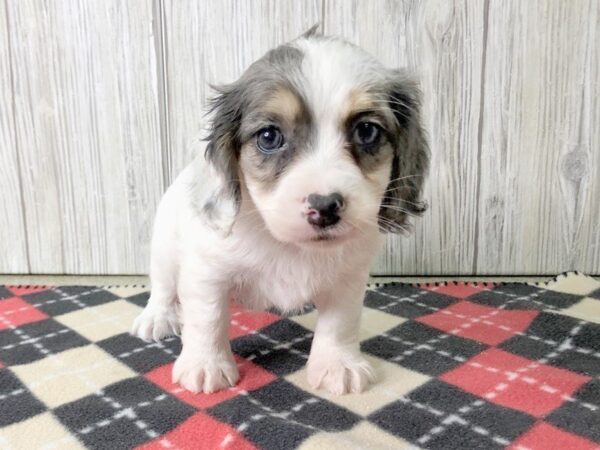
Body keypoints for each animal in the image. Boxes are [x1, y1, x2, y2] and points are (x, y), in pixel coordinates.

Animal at [134, 28, 428, 396]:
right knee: (162, 285)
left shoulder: (348, 277)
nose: (324, 206)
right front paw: (205, 365)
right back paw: (157, 318)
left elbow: (340, 322)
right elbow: (207, 318)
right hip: (163, 248)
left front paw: (338, 364)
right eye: (270, 136)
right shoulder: (207, 271)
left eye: (367, 131)